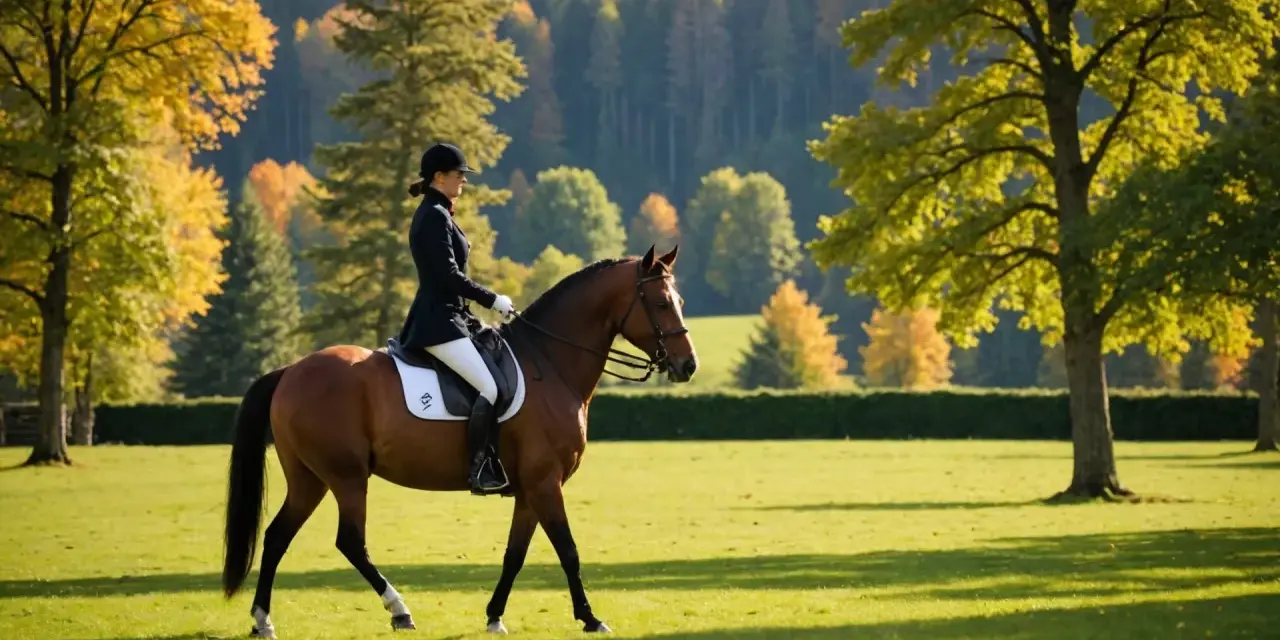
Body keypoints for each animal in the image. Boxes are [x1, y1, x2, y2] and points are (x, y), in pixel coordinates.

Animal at [219, 245, 697, 638]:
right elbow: (568, 549)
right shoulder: (546, 483)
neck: (550, 364)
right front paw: (590, 617)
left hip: (310, 479)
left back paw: (263, 620)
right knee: (350, 542)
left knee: (277, 536)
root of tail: (291, 371)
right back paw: (399, 610)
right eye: (659, 303)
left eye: (679, 302)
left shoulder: (530, 489)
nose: (687, 365)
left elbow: (515, 554)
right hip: (346, 477)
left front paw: (494, 616)